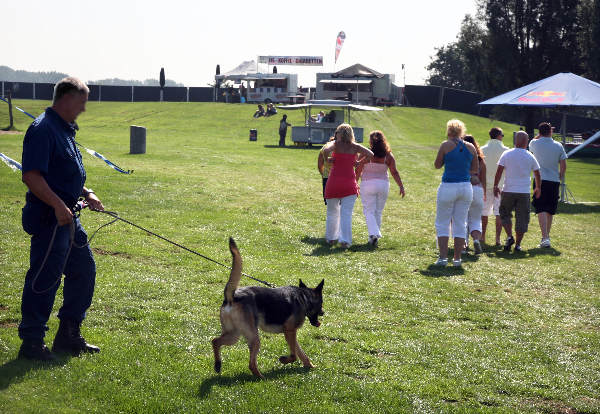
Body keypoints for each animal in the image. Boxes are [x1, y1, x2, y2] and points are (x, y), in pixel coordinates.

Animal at [211, 239, 324, 378]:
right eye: (321, 303)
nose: (323, 312)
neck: (304, 296)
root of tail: (232, 297)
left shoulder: (291, 333)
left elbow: (301, 352)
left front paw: (310, 366)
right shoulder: (289, 331)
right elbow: (294, 354)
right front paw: (284, 360)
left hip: (234, 335)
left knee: (215, 341)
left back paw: (218, 365)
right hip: (253, 338)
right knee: (251, 364)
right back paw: (261, 377)